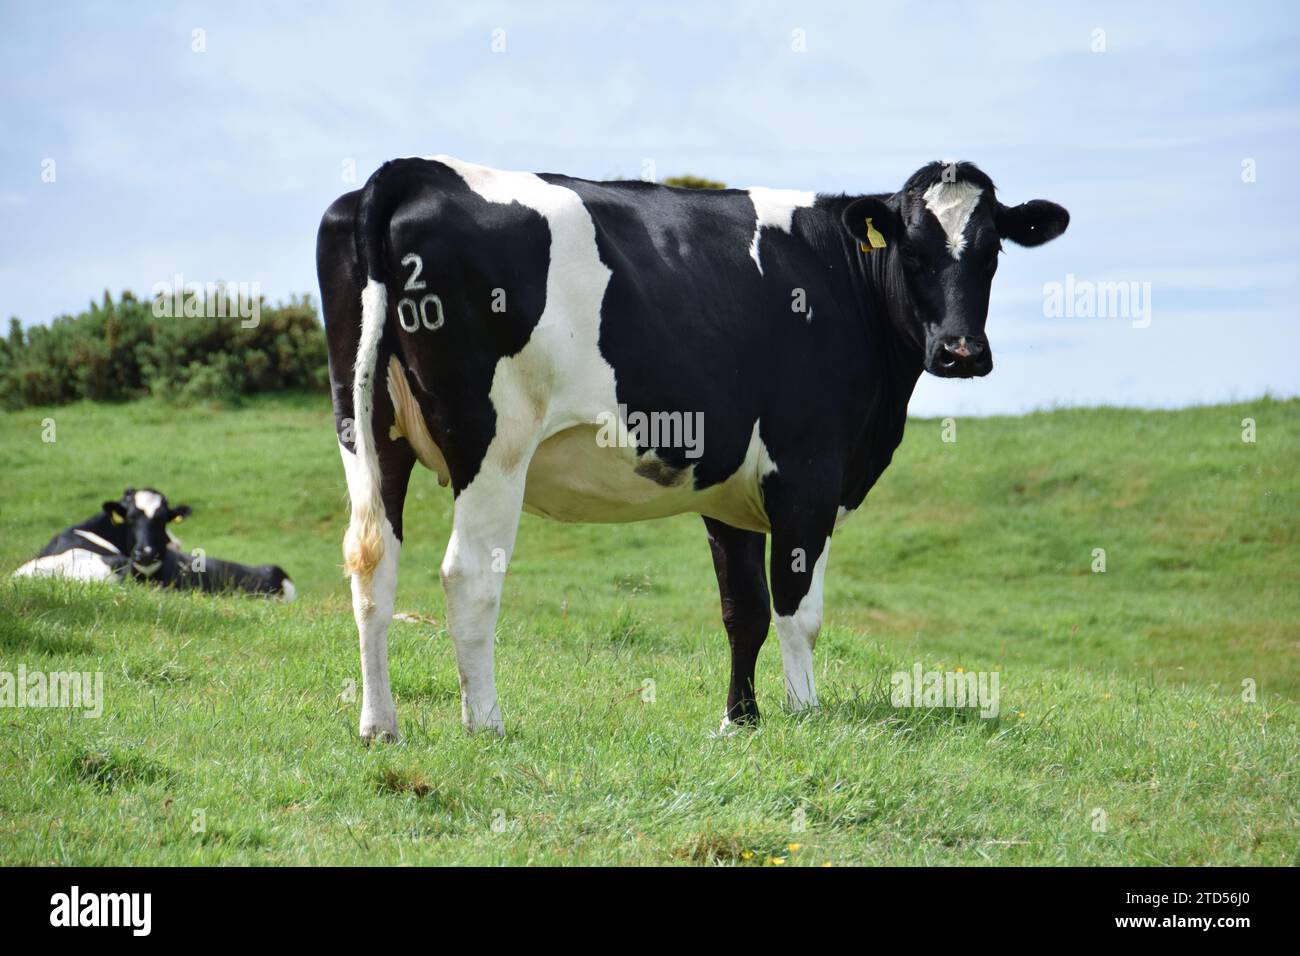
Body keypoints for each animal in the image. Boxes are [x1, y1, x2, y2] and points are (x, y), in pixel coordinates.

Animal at [317, 157, 1068, 741]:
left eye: (993, 252)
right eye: (910, 251)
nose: (962, 351)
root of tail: (412, 171)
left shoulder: (730, 490)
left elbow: (744, 611)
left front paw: (741, 721)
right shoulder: (808, 474)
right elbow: (797, 609)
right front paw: (805, 714)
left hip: (368, 426)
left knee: (371, 560)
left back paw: (379, 726)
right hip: (494, 443)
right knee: (468, 575)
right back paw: (486, 723)